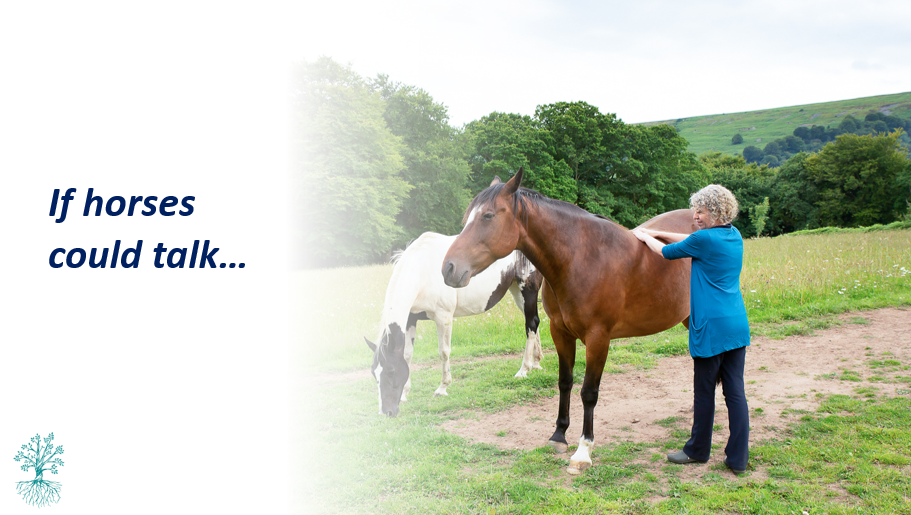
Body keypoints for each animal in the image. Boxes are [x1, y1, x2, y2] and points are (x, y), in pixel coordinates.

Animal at [365, 231, 544, 417]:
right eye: (373, 372)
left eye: (391, 371)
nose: (386, 412)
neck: (422, 271)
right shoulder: (410, 319)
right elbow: (407, 354)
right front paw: (405, 394)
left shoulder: (443, 317)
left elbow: (444, 352)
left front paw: (442, 388)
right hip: (516, 291)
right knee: (533, 323)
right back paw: (536, 362)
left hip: (528, 290)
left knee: (531, 325)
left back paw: (523, 370)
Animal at [442, 170, 696, 475]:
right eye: (468, 217)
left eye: (488, 216)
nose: (449, 268)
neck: (580, 258)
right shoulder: (560, 332)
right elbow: (565, 382)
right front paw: (559, 435)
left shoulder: (598, 338)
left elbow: (589, 392)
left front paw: (583, 451)